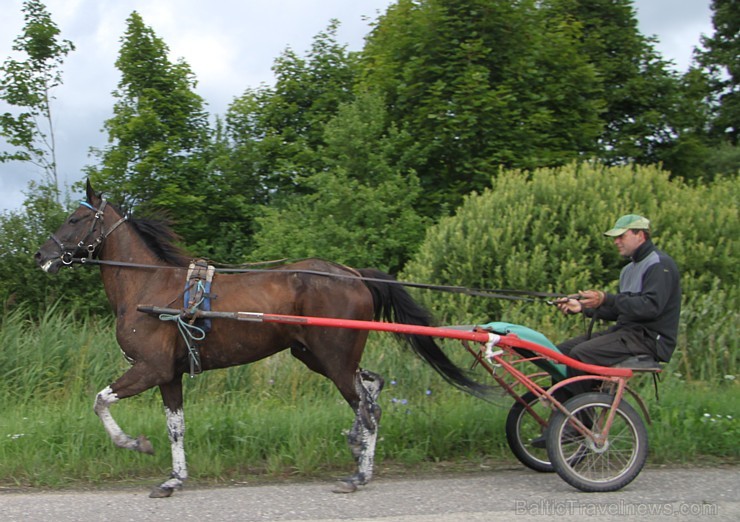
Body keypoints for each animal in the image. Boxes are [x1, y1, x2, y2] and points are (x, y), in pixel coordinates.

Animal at [34, 181, 488, 498]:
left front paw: (134, 443)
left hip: (334, 359)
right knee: (372, 385)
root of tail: (354, 274)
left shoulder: (150, 369)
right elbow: (176, 428)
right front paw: (174, 479)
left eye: (74, 219)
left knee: (368, 406)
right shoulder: (170, 376)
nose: (42, 256)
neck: (149, 289)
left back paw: (359, 474)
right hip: (315, 355)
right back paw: (357, 448)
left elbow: (100, 401)